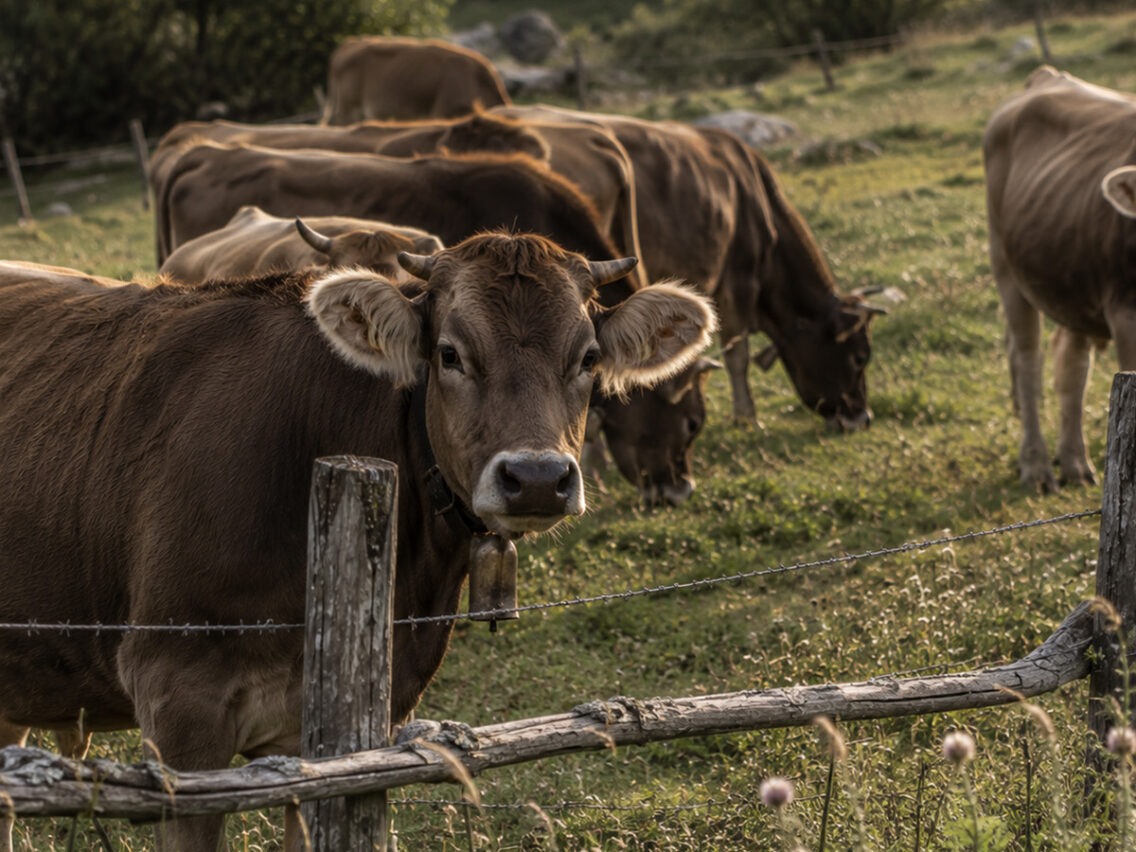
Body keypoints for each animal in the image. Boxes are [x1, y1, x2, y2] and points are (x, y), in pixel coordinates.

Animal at [984, 66, 1136, 490]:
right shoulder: (1126, 315)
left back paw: (1074, 462)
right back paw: (1035, 465)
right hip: (1006, 268)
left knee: (1071, 366)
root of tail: (1046, 76)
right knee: (1028, 363)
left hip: (1070, 274)